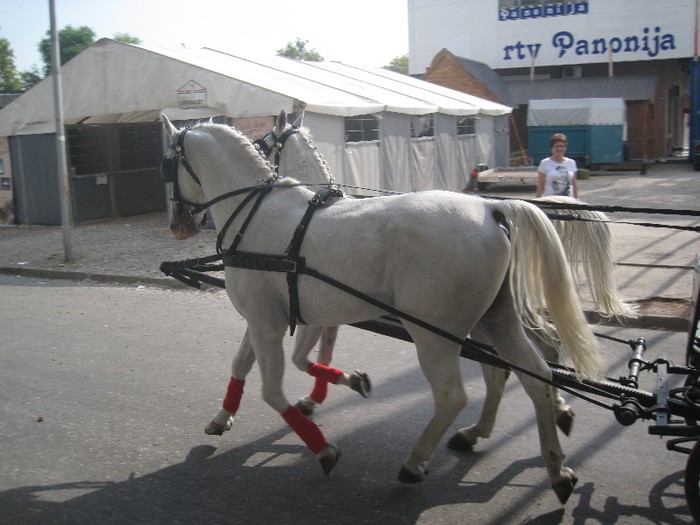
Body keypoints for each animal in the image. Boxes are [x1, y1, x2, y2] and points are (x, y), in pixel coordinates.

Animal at [163, 115, 600, 504]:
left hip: (435, 333)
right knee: (534, 376)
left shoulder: (269, 323)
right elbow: (247, 364)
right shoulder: (272, 318)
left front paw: (323, 448)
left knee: (455, 395)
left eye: (167, 164)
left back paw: (416, 462)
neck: (254, 216)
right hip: (496, 320)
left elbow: (273, 389)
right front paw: (225, 416)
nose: (177, 226)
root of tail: (491, 210)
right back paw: (555, 466)